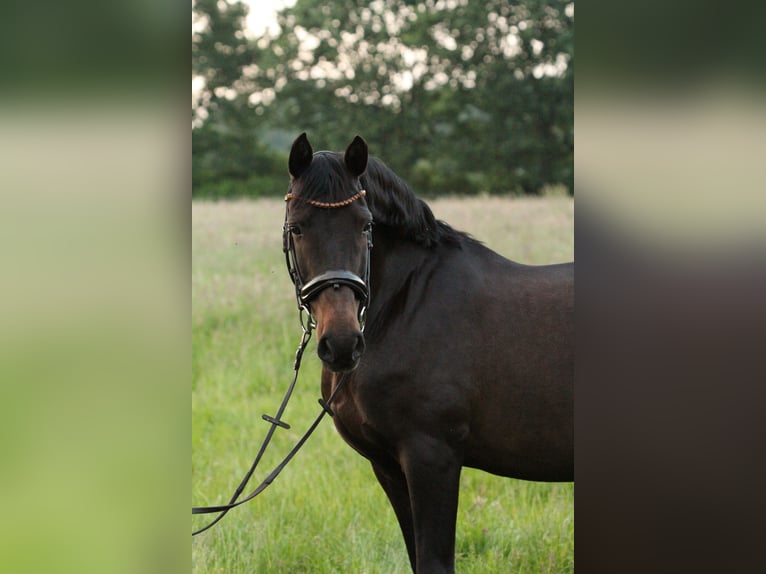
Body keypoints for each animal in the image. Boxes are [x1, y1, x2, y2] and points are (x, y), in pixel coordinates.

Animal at [284, 134, 572, 574]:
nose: (343, 344)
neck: (404, 307)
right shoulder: (388, 465)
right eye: (297, 227)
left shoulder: (431, 458)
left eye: (365, 225)